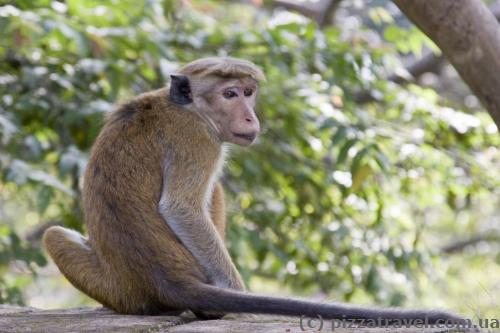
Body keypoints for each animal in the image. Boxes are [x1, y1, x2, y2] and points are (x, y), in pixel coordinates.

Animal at [42, 57, 464, 324]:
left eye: (249, 92)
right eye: (230, 94)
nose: (250, 116)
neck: (183, 106)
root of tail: (167, 280)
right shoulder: (198, 139)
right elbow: (181, 208)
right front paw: (238, 297)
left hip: (121, 290)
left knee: (53, 235)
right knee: (212, 192)